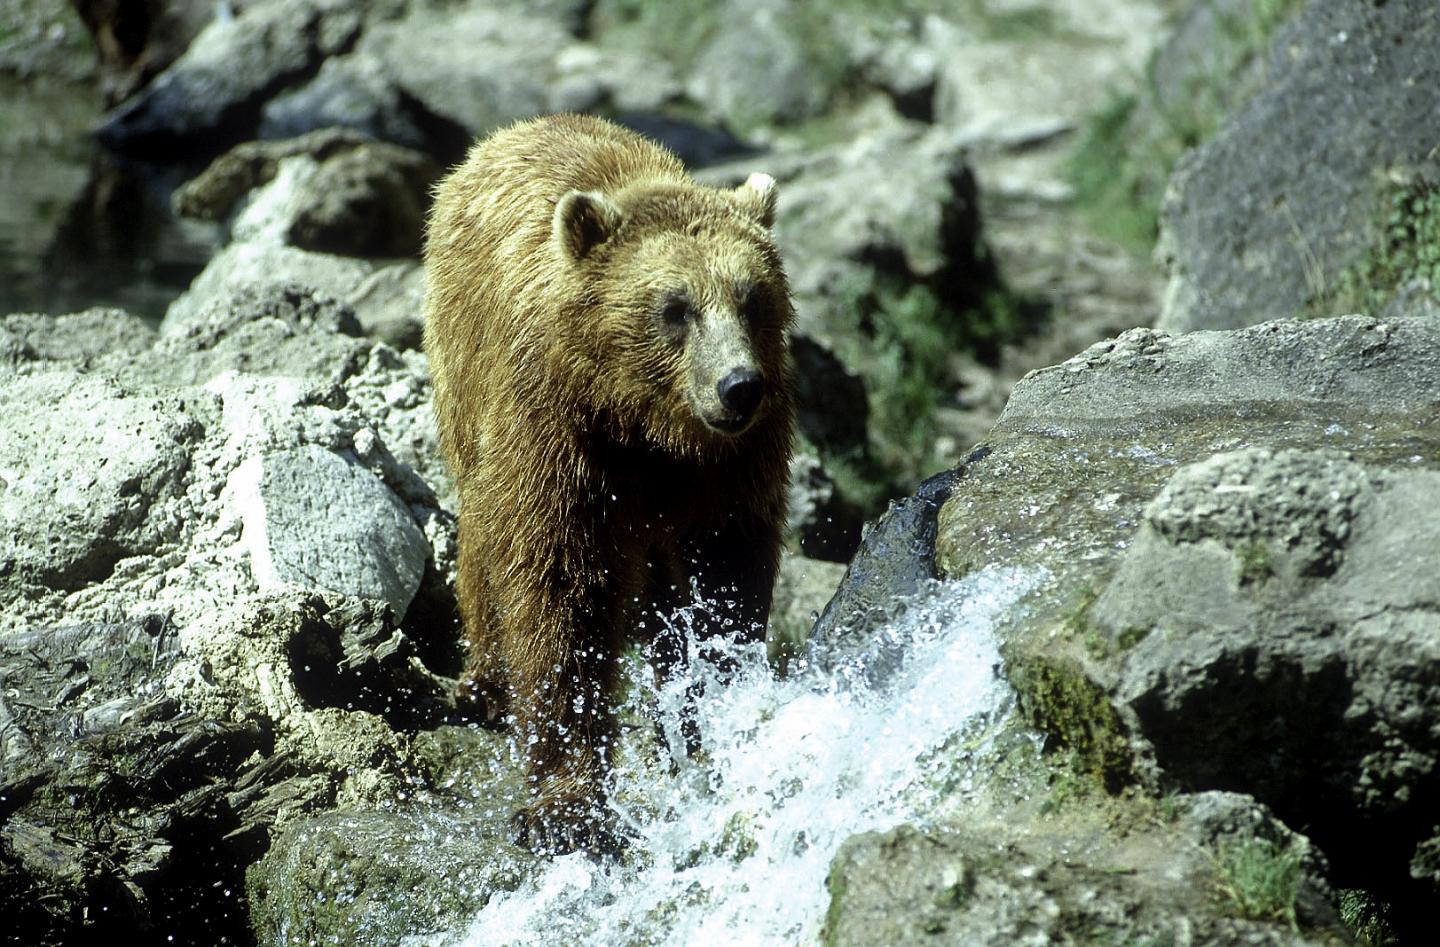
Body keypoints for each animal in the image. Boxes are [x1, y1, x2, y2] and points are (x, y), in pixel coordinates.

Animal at [422, 114, 794, 855]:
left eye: (752, 298)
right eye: (675, 307)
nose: (738, 386)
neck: (649, 425)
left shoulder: (733, 470)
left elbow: (727, 579)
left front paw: (719, 705)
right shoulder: (560, 435)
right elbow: (560, 591)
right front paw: (566, 805)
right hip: (464, 376)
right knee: (481, 533)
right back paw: (484, 682)